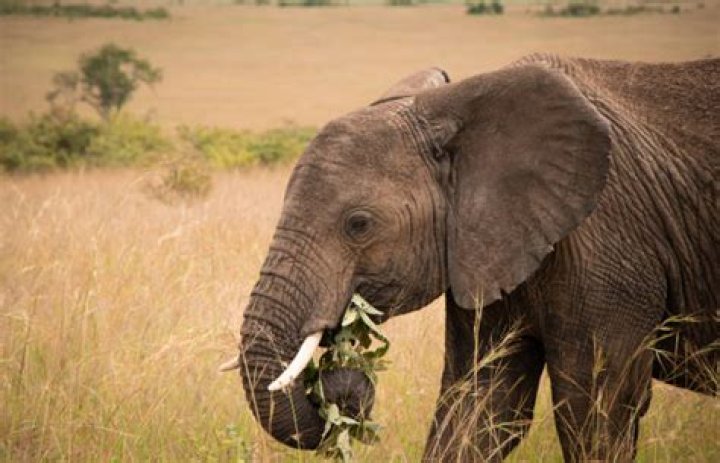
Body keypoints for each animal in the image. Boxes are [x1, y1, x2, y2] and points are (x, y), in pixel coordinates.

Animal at [224, 54, 719, 461]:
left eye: (358, 224)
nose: (344, 388)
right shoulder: (486, 245)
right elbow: (479, 405)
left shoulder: (610, 251)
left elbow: (597, 408)